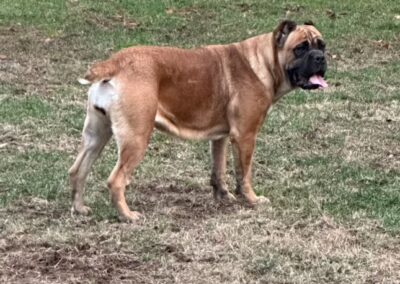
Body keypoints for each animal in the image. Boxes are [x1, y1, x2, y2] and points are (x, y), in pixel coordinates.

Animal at [69, 20, 328, 222]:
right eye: (300, 48)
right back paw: (127, 215)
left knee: (77, 171)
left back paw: (80, 208)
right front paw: (251, 200)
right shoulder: (245, 136)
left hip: (97, 135)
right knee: (116, 180)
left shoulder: (221, 137)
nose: (320, 58)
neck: (264, 62)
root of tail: (114, 63)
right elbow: (244, 173)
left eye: (322, 45)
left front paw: (223, 196)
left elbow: (219, 170)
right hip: (136, 139)